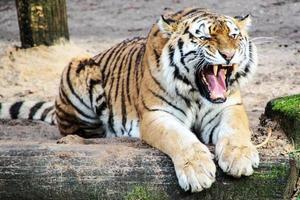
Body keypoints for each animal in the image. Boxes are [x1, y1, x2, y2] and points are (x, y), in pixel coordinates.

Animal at [0, 7, 258, 192]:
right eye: (204, 37)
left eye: (234, 36)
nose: (229, 55)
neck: (196, 93)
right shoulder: (156, 115)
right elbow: (181, 139)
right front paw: (197, 170)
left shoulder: (229, 106)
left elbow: (236, 129)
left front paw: (240, 157)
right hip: (79, 64)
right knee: (76, 131)